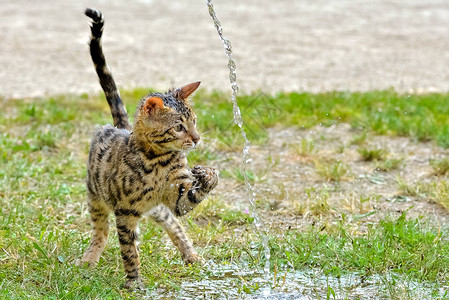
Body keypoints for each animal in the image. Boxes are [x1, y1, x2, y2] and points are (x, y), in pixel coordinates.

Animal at [78, 7, 220, 288]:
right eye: (179, 127)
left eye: (195, 121)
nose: (197, 138)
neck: (158, 161)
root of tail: (120, 127)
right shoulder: (124, 211)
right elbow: (129, 250)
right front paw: (134, 282)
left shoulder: (177, 198)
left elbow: (188, 203)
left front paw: (209, 175)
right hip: (96, 197)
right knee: (101, 231)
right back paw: (89, 258)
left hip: (156, 209)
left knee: (174, 226)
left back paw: (192, 256)